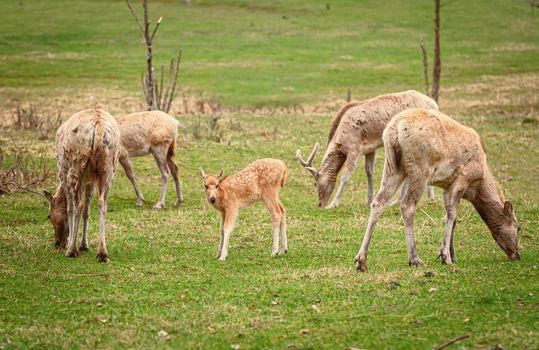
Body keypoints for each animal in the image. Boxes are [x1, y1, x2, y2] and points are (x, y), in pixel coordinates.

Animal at [43, 109, 122, 262]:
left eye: (49, 216)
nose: (57, 243)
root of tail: (98, 128)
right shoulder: (90, 180)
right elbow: (87, 210)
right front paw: (84, 245)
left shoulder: (63, 172)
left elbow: (70, 208)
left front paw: (71, 244)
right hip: (108, 168)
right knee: (102, 203)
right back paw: (102, 252)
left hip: (75, 166)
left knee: (78, 205)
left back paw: (72, 251)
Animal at [298, 91, 440, 211]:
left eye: (315, 183)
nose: (320, 204)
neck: (340, 139)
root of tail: (435, 105)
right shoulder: (369, 149)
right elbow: (369, 172)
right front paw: (369, 200)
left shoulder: (354, 148)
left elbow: (345, 176)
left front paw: (334, 204)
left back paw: (428, 198)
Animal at [354, 108, 520, 272]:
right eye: (518, 228)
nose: (517, 254)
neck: (478, 185)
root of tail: (394, 129)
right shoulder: (463, 178)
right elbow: (452, 215)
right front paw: (445, 256)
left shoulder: (446, 186)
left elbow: (451, 217)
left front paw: (451, 255)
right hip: (420, 169)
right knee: (407, 206)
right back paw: (415, 259)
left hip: (394, 168)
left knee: (378, 202)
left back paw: (361, 261)